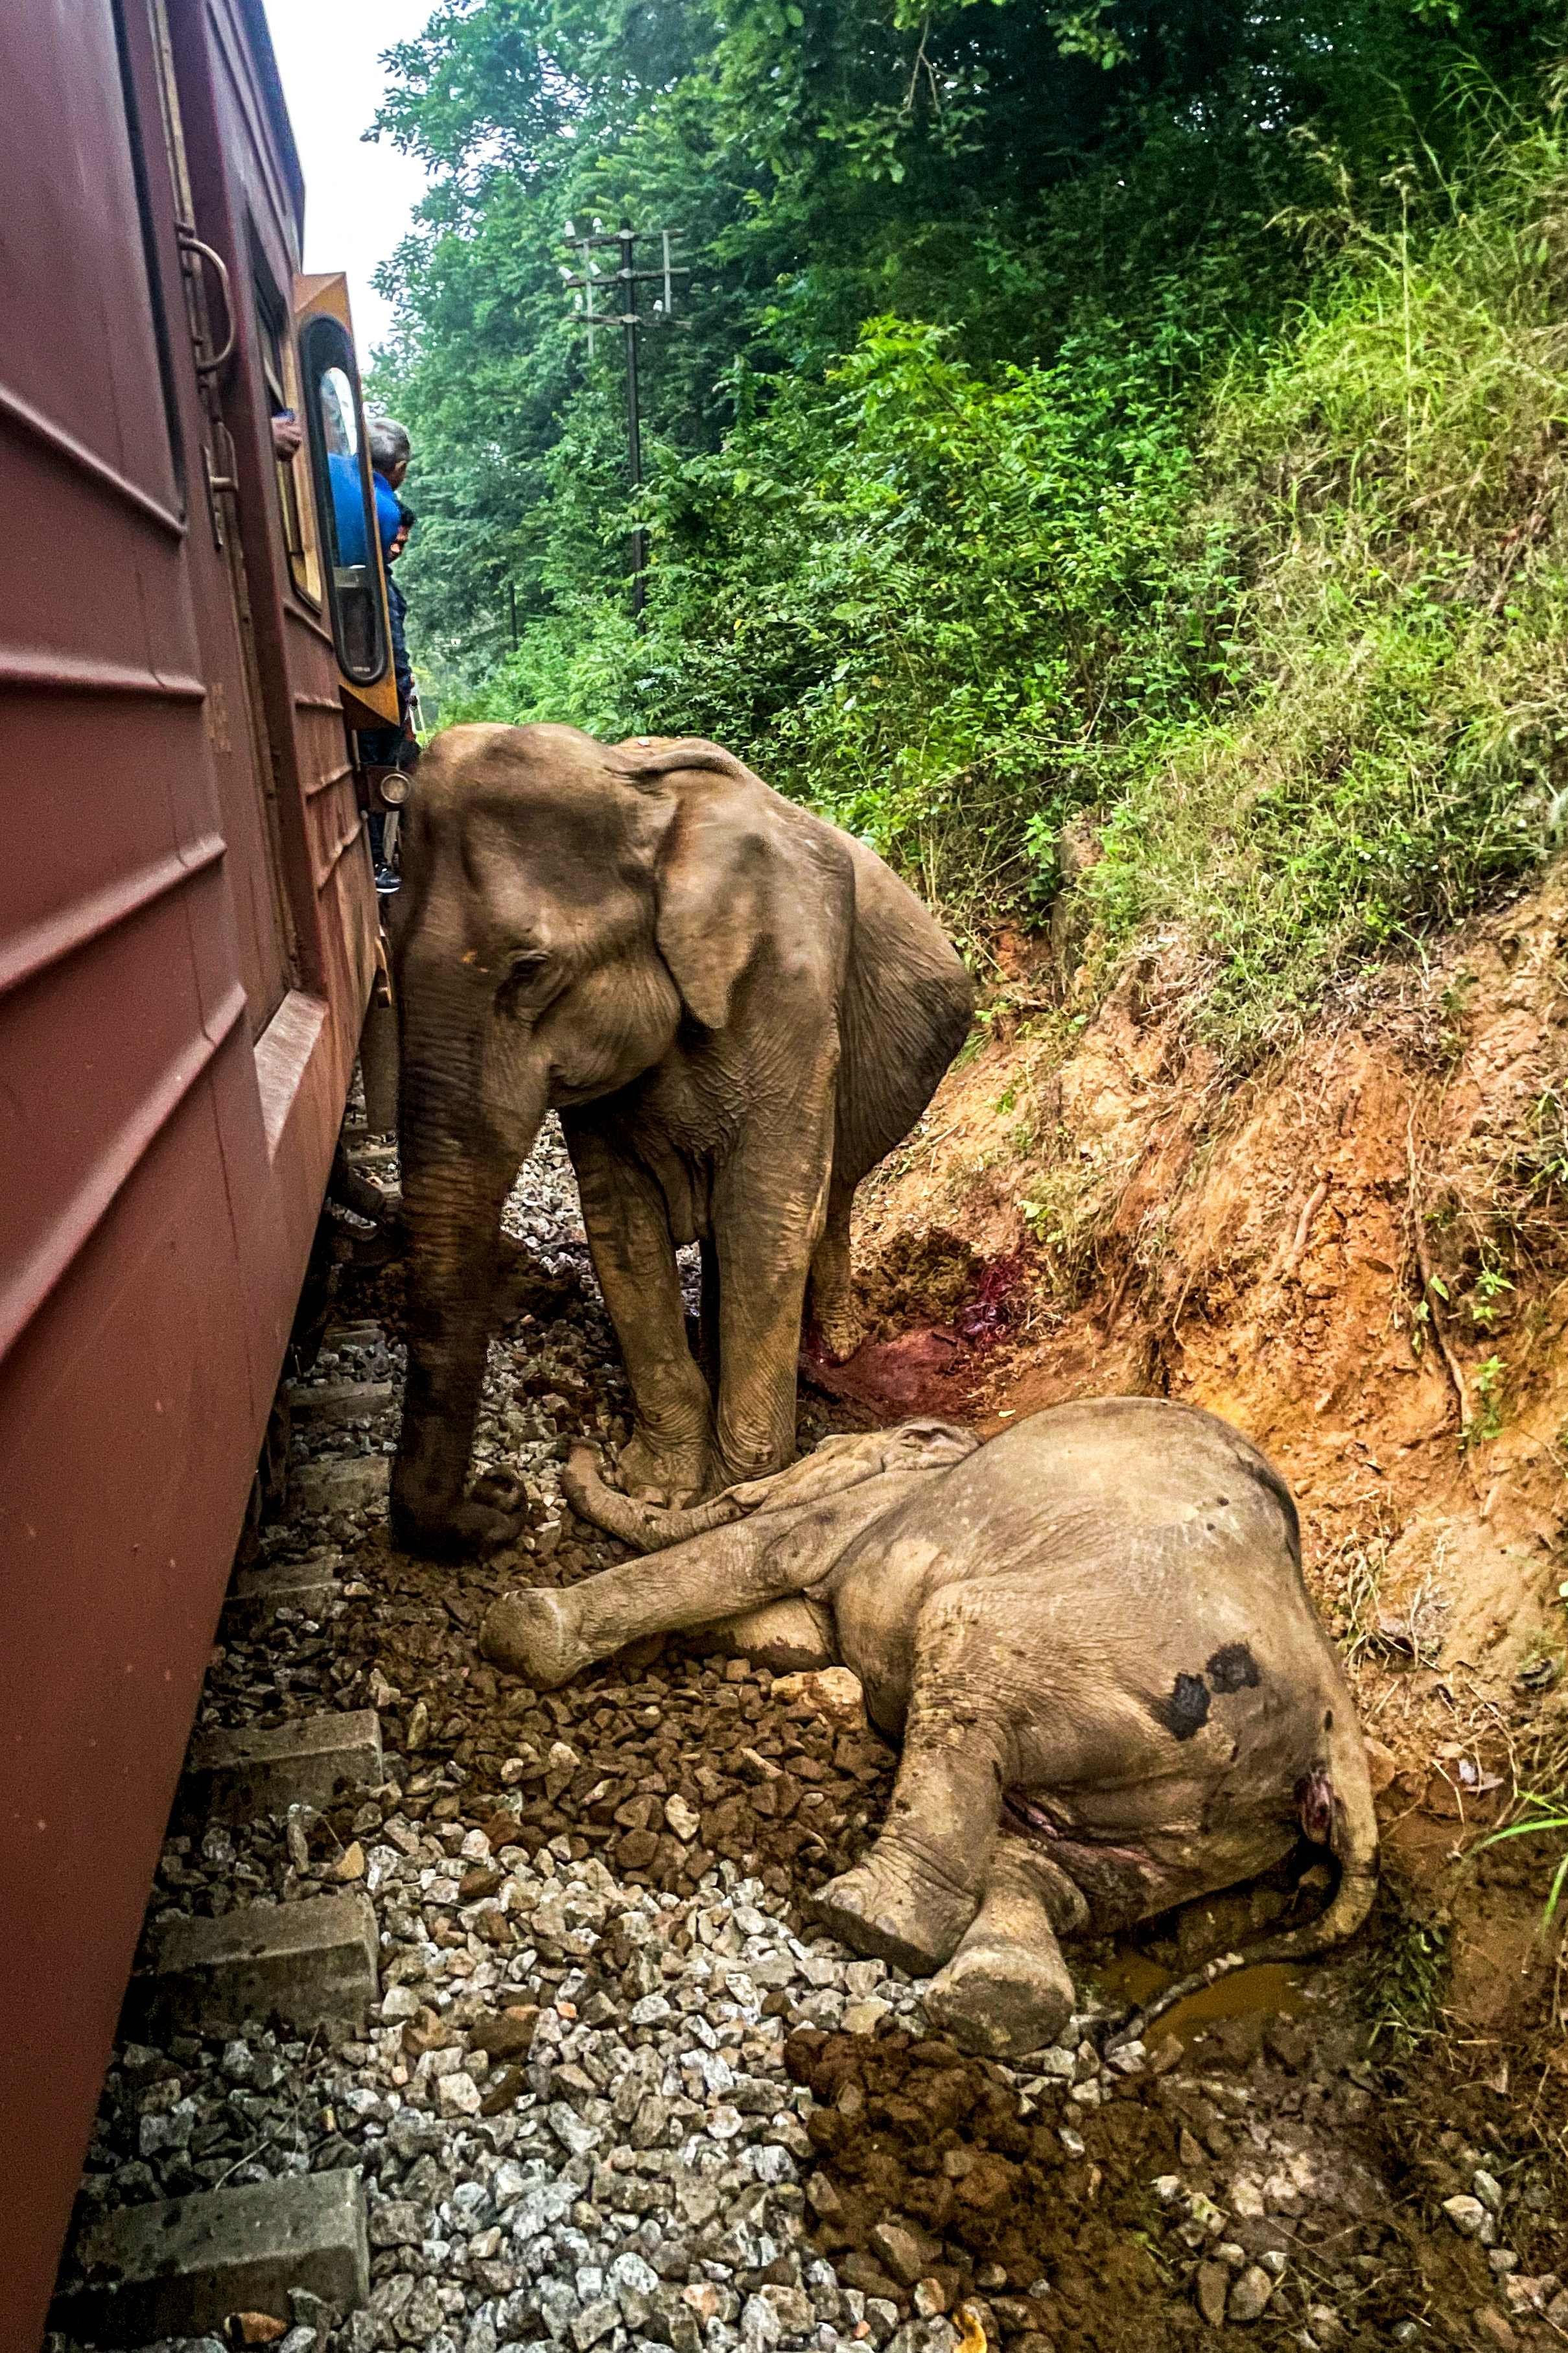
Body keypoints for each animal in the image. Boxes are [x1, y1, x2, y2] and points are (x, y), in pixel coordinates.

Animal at [388, 724, 973, 1553]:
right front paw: (661, 1488)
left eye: (530, 970)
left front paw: (740, 1485)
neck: (640, 795)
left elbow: (765, 1213)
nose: (502, 1496)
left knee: (825, 1199)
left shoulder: (790, 991)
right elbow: (620, 1226)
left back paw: (834, 1343)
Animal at [484, 1393, 1382, 2061]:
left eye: (819, 1451)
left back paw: (867, 1920)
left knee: (967, 1652)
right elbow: (787, 1633)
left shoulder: (868, 1510)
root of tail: (1335, 1736)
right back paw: (1000, 1999)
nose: (580, 1443)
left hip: (1124, 1671)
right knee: (1061, 1876)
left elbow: (765, 1553)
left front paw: (522, 1633)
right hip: (1208, 1828)